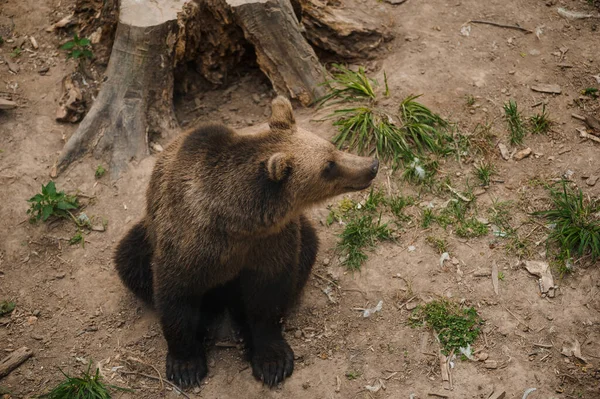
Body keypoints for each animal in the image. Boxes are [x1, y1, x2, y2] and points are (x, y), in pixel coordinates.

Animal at [114, 97, 378, 390]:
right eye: (328, 166)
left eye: (331, 147)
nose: (371, 166)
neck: (235, 224)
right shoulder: (187, 243)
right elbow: (175, 295)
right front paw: (185, 365)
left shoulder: (271, 242)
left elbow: (268, 296)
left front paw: (272, 360)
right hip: (146, 235)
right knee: (130, 260)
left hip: (302, 235)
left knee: (308, 249)